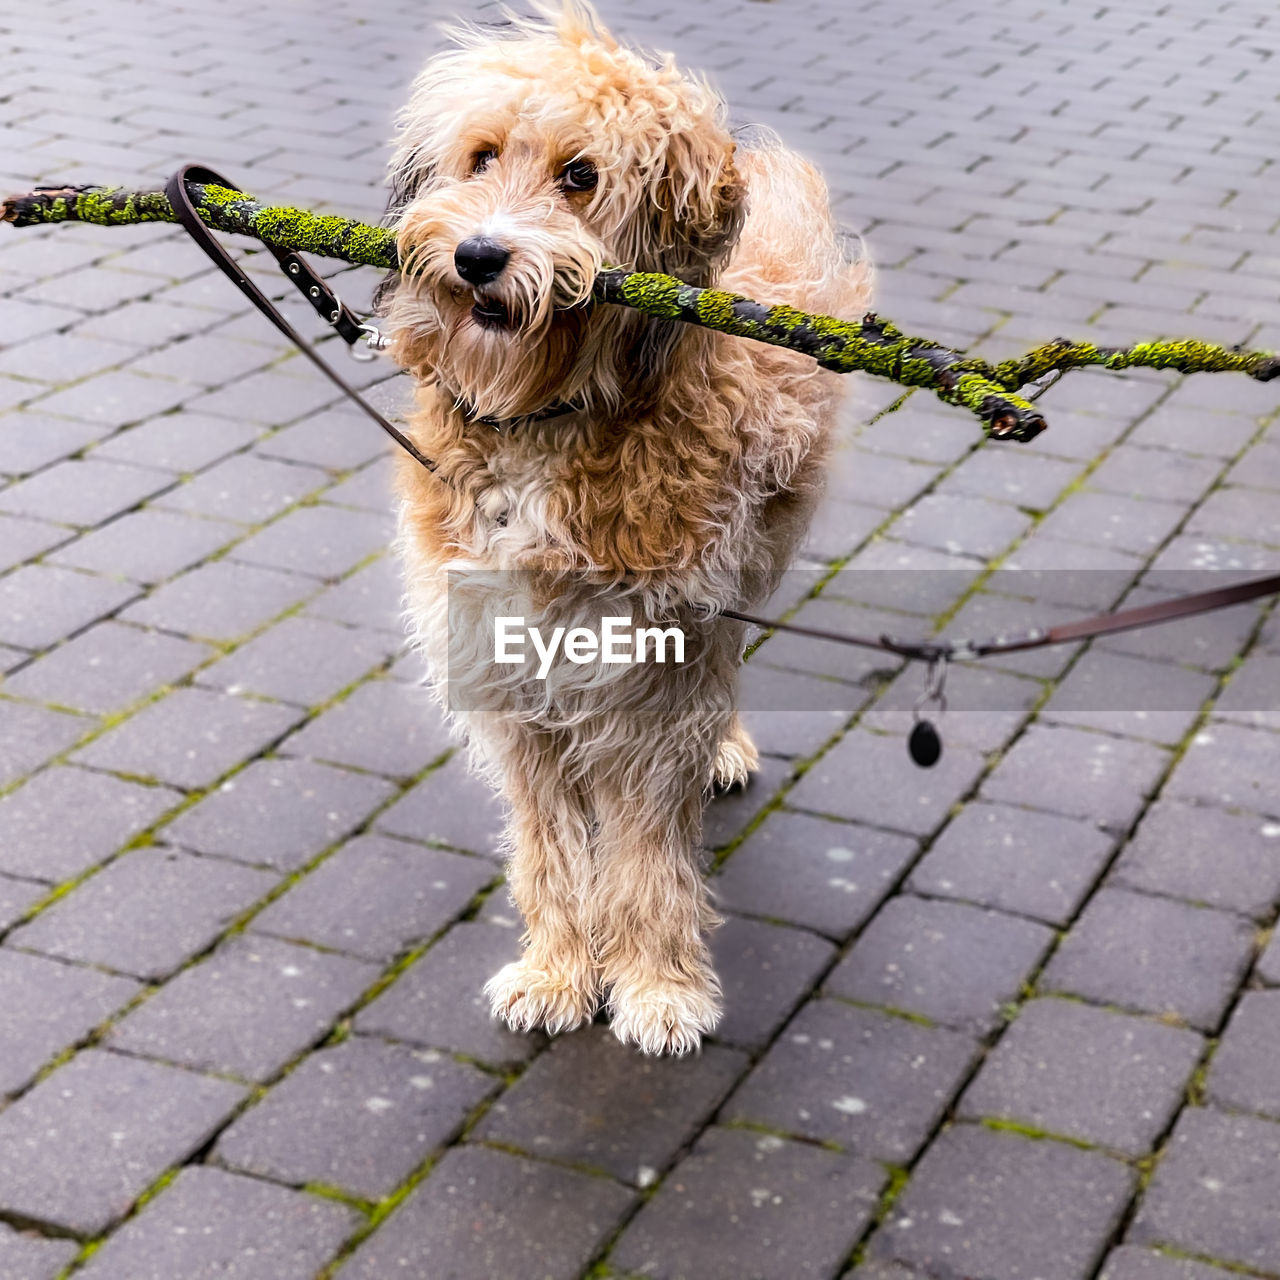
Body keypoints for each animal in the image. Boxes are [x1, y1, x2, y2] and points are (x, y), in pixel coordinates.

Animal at [381, 0, 870, 1054]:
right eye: (482, 156)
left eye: (582, 176)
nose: (477, 256)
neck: (548, 419)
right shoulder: (509, 676)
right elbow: (551, 846)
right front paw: (561, 971)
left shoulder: (653, 679)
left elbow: (647, 849)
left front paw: (656, 987)